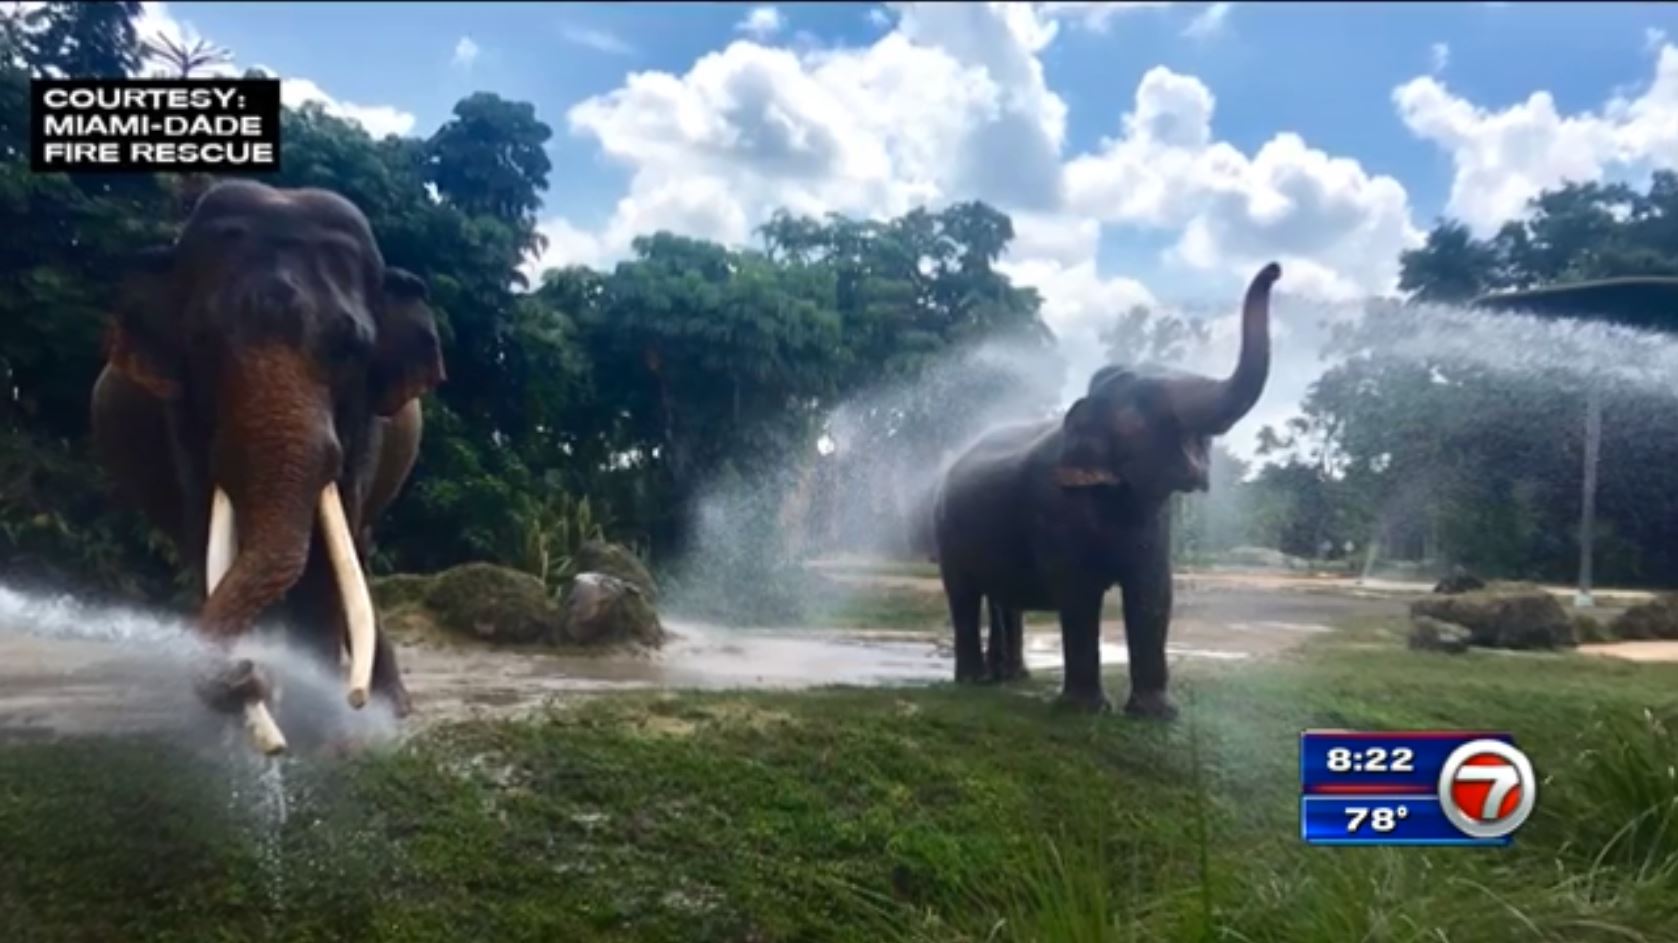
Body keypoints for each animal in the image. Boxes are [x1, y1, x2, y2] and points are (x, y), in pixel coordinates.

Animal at [88, 178, 445, 742]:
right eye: (201, 342)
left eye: (351, 347)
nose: (250, 672)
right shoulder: (178, 412)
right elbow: (204, 527)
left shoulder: (368, 417)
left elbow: (327, 554)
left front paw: (321, 729)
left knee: (359, 550)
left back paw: (393, 707)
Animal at [931, 262, 1280, 717]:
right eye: (1147, 403)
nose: (1275, 269)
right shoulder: (1054, 509)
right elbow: (1078, 593)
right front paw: (1086, 710)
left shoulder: (1154, 516)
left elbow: (1153, 592)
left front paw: (1157, 715)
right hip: (946, 533)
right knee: (964, 596)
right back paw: (974, 681)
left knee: (1003, 600)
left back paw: (1011, 677)